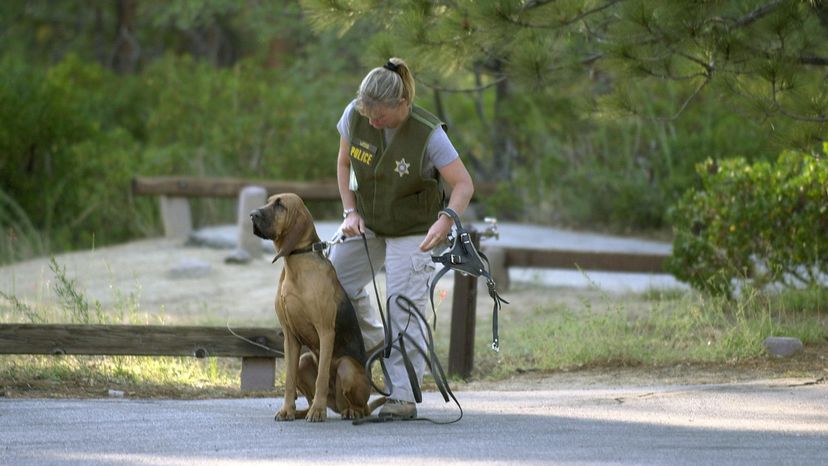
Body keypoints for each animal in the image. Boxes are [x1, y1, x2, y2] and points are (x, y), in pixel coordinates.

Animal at [251, 193, 384, 422]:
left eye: (280, 205)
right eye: (268, 201)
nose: (252, 215)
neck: (297, 263)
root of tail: (338, 405)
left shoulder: (325, 332)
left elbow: (321, 377)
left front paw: (318, 411)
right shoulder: (289, 336)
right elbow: (289, 380)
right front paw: (287, 410)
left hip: (347, 367)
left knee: (360, 407)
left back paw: (349, 411)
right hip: (304, 361)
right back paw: (301, 412)